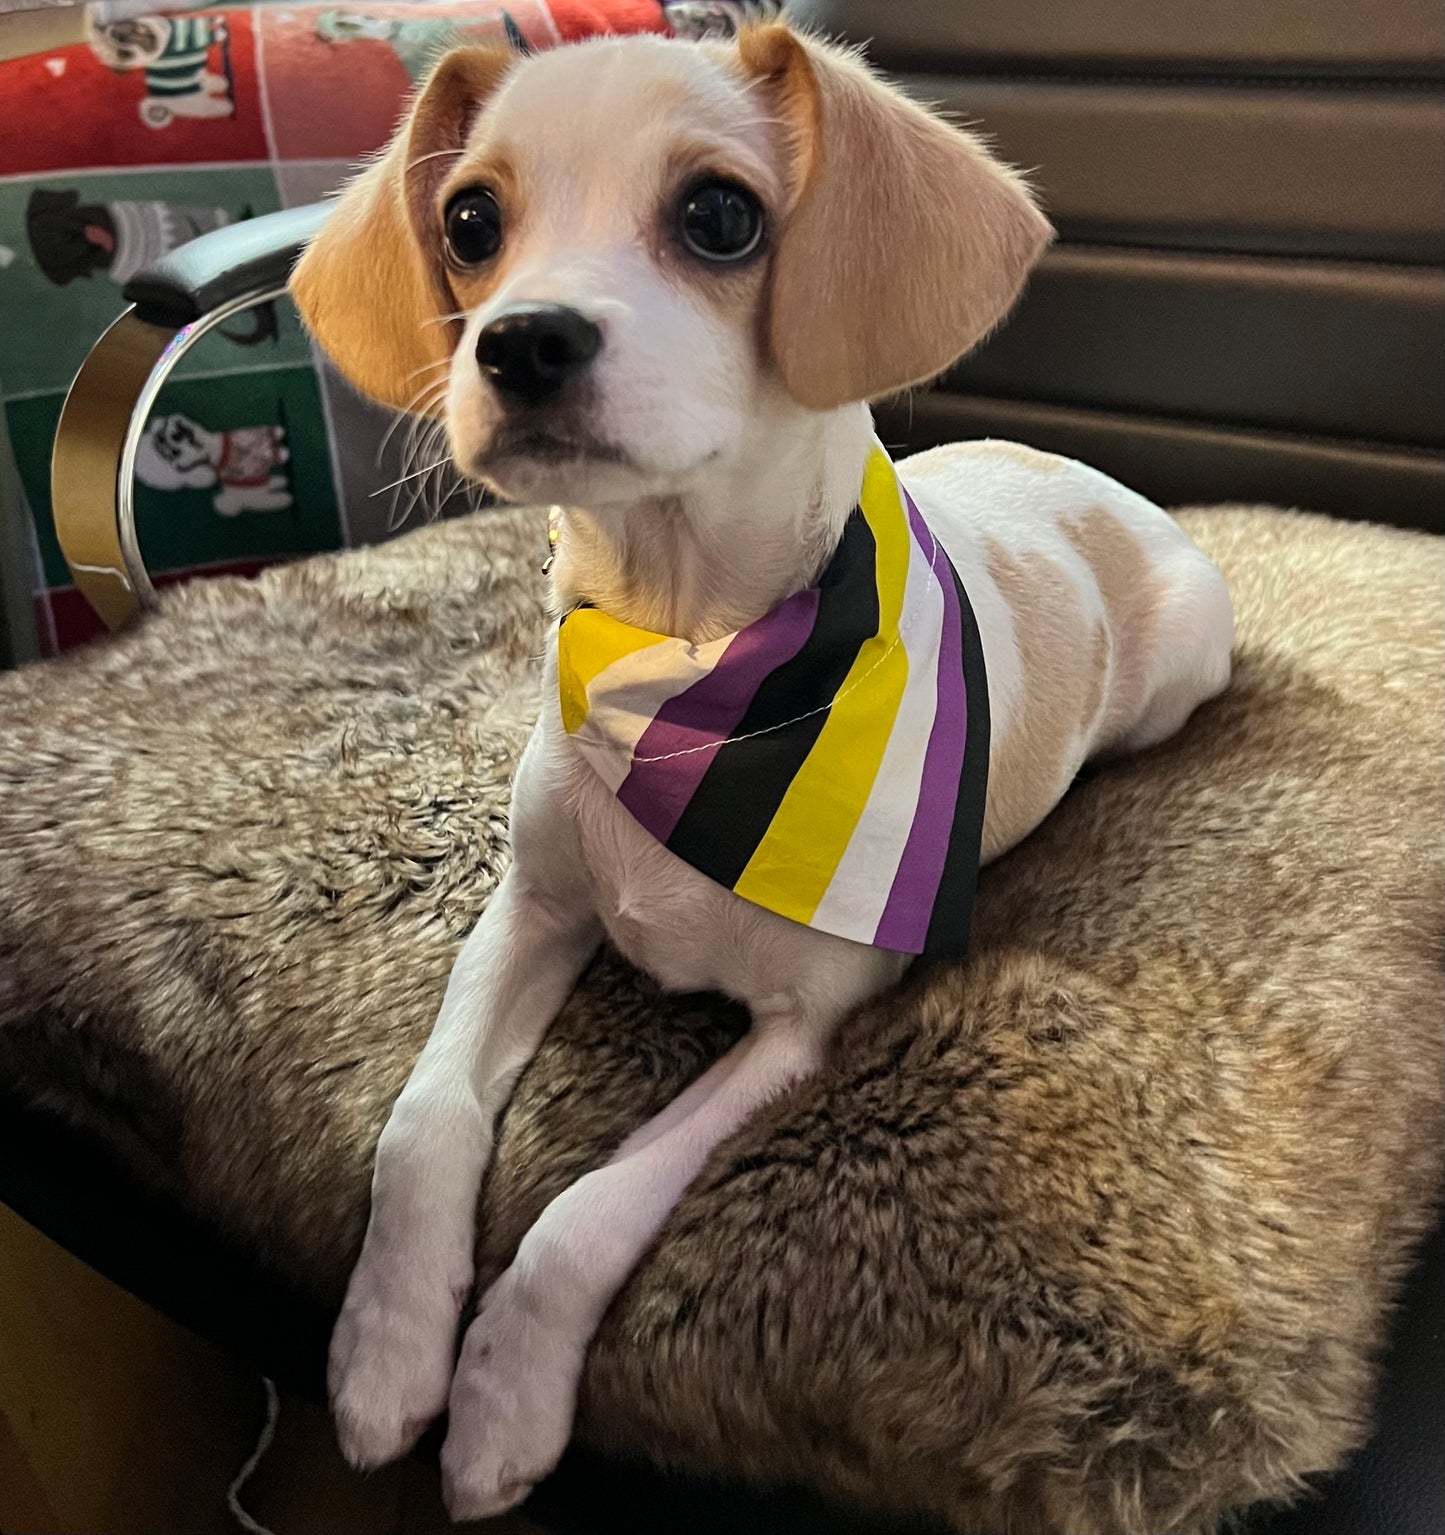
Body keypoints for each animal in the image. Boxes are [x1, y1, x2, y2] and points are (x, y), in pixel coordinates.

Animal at [290, 27, 1228, 1522]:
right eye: (470, 222)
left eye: (720, 216)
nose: (520, 340)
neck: (685, 662)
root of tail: (1084, 475)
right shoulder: (530, 907)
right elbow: (421, 1120)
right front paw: (386, 1349)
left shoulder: (802, 1030)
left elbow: (586, 1210)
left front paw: (501, 1396)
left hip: (1179, 673)